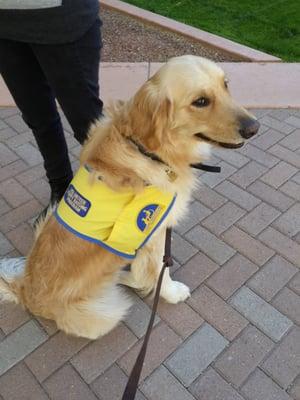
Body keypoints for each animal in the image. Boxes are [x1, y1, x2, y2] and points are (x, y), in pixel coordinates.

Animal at [0, 55, 258, 338]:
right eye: (200, 101)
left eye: (226, 85)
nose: (254, 128)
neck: (149, 150)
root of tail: (24, 290)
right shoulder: (153, 233)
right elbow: (160, 273)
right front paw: (172, 292)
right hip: (104, 314)